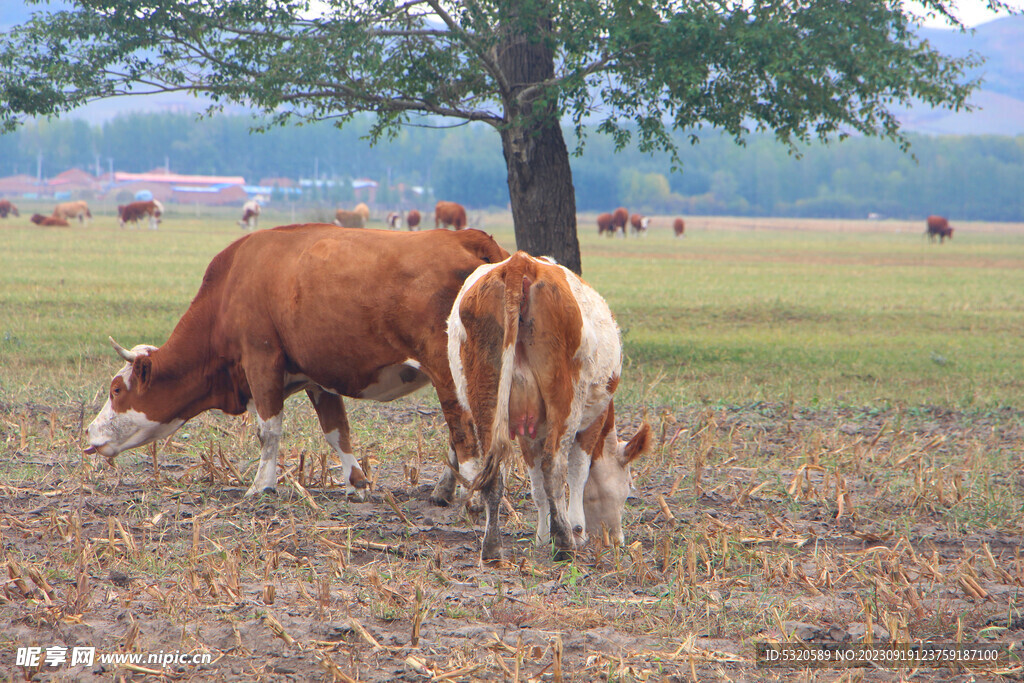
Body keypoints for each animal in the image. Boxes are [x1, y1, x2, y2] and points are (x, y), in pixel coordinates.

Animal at [83, 227, 507, 499]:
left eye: (116, 390)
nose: (89, 433)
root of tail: (465, 236)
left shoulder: (261, 361)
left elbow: (268, 431)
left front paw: (261, 486)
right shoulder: (318, 379)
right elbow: (336, 431)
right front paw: (356, 483)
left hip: (449, 372)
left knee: (464, 431)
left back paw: (470, 494)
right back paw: (445, 490)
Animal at [452, 250, 651, 561]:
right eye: (628, 487)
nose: (617, 540)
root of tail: (521, 263)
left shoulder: (526, 429)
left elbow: (535, 484)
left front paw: (542, 536)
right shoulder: (592, 421)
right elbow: (578, 472)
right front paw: (574, 530)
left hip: (486, 396)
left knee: (495, 471)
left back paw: (493, 547)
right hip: (565, 397)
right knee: (554, 465)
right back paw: (566, 542)